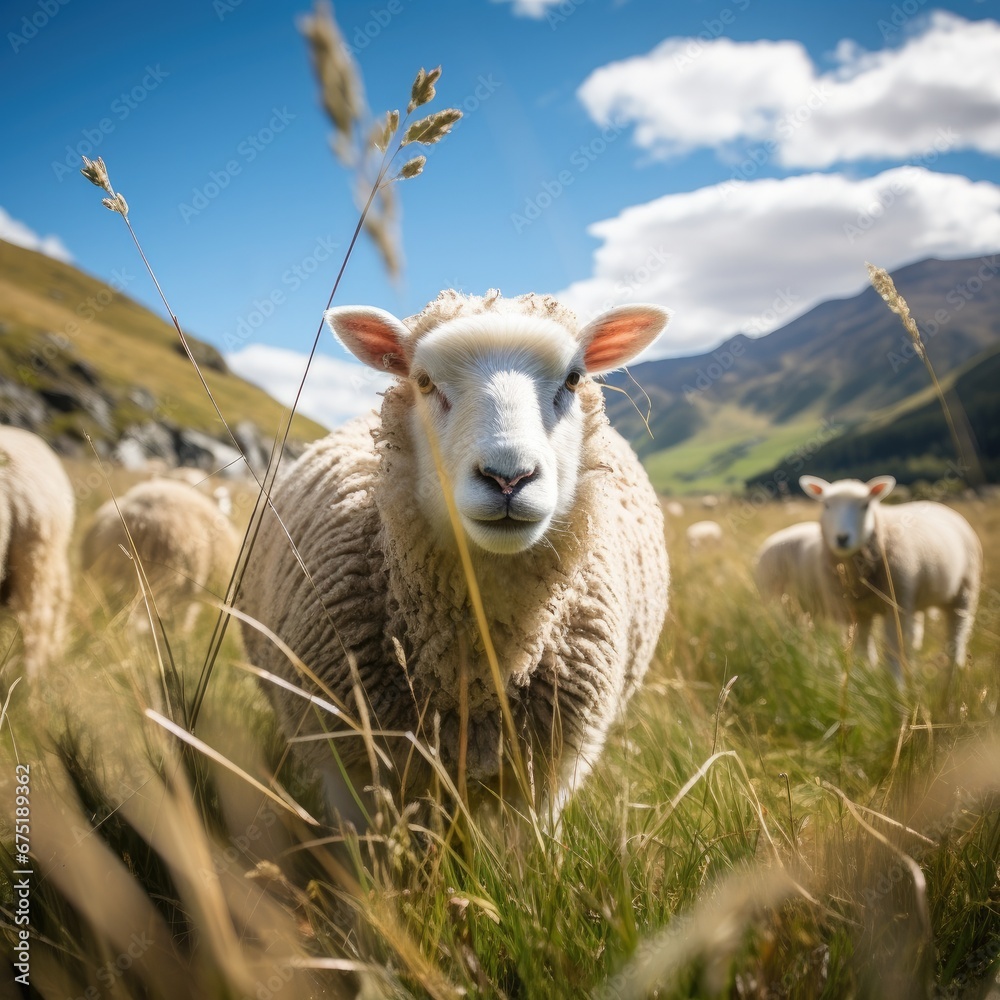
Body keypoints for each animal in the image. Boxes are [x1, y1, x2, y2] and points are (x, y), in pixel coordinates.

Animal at [799, 475, 982, 682]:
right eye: (826, 505)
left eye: (865, 505)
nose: (842, 538)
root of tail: (939, 505)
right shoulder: (855, 612)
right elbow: (862, 652)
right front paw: (864, 679)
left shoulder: (895, 608)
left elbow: (892, 654)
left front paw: (896, 687)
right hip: (915, 598)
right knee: (915, 638)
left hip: (964, 592)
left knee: (956, 640)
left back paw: (953, 678)